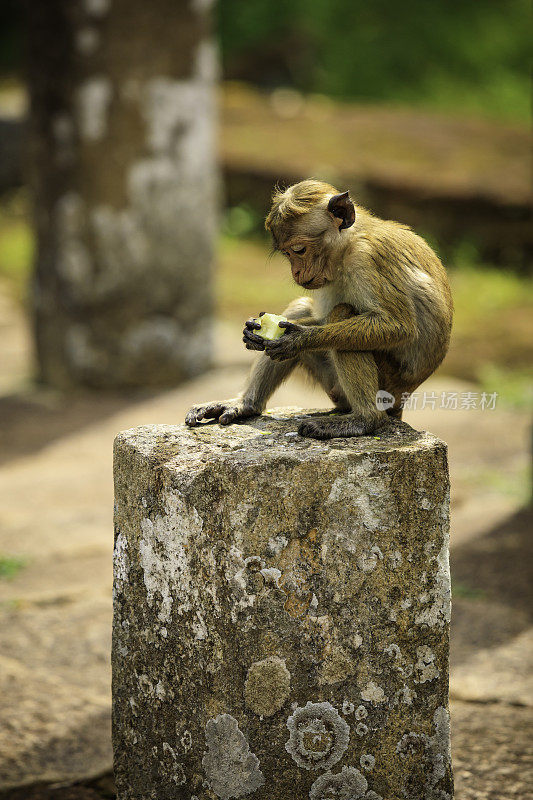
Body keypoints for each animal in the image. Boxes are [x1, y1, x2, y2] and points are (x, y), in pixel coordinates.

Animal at [185, 179, 450, 440]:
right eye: (287, 253)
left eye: (299, 249)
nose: (296, 272)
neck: (349, 245)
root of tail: (403, 399)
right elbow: (315, 317)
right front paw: (254, 330)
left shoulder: (369, 258)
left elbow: (397, 325)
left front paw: (298, 339)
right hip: (334, 383)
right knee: (301, 308)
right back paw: (246, 405)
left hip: (388, 383)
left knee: (343, 312)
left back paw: (365, 420)